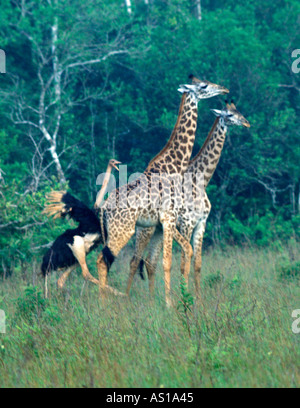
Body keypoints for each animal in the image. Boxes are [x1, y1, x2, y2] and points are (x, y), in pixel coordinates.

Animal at [127, 101, 251, 300]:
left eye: (238, 110)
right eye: (230, 115)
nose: (247, 123)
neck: (200, 180)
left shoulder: (201, 222)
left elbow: (197, 264)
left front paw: (198, 300)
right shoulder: (187, 223)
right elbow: (184, 263)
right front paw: (185, 298)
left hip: (159, 231)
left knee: (150, 261)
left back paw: (152, 300)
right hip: (145, 230)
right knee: (134, 261)